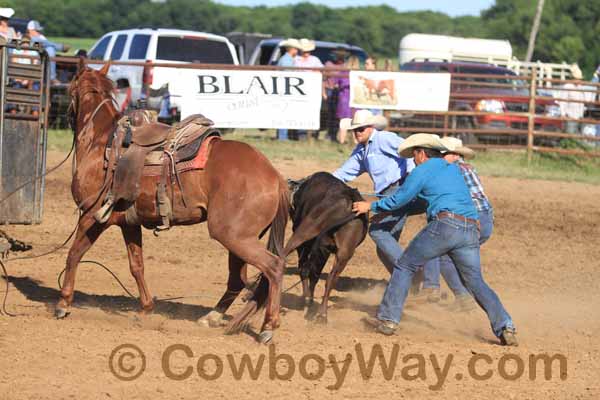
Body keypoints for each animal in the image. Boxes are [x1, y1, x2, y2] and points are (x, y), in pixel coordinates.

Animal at [59, 63, 290, 344]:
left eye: (70, 87)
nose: (66, 115)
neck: (101, 142)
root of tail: (275, 176)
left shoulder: (92, 216)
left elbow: (73, 254)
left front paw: (63, 303)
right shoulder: (128, 223)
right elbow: (137, 265)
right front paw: (146, 308)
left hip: (233, 236)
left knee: (273, 268)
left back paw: (268, 326)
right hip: (238, 239)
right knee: (238, 279)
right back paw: (212, 317)